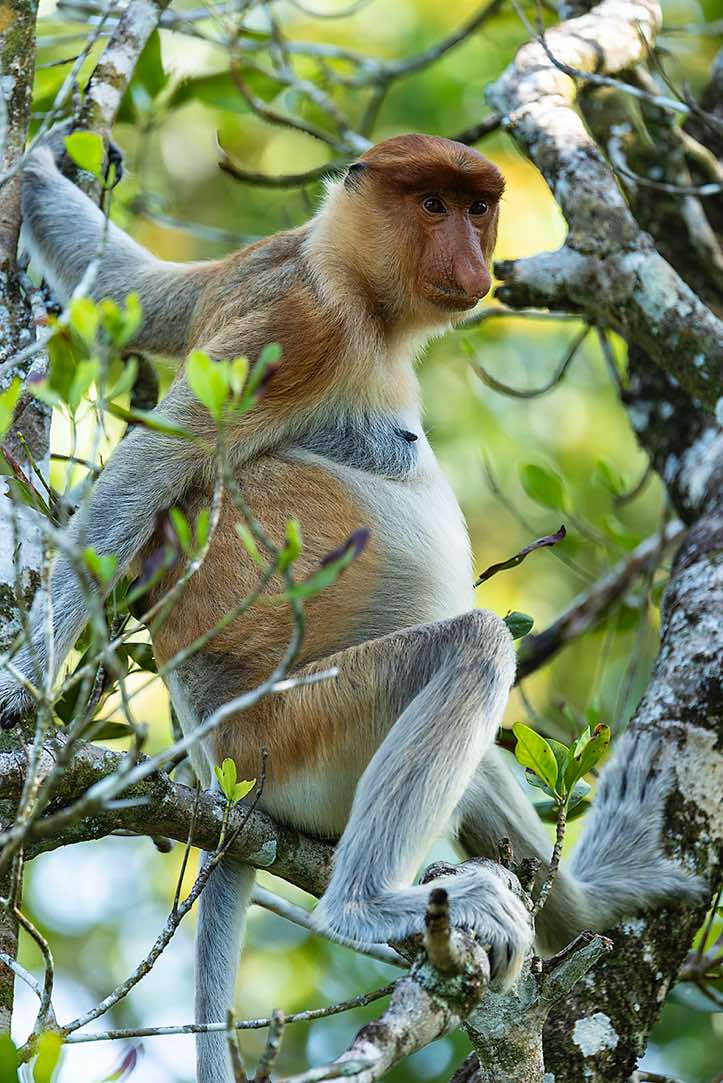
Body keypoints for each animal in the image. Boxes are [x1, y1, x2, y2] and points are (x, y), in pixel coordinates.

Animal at [0, 133, 704, 1083]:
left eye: (477, 206)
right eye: (432, 205)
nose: (472, 259)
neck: (348, 287)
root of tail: (224, 769)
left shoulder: (252, 270)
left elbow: (137, 290)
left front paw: (39, 167)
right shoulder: (293, 327)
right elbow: (135, 484)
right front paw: (19, 689)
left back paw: (587, 902)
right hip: (298, 728)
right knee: (472, 646)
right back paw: (370, 904)